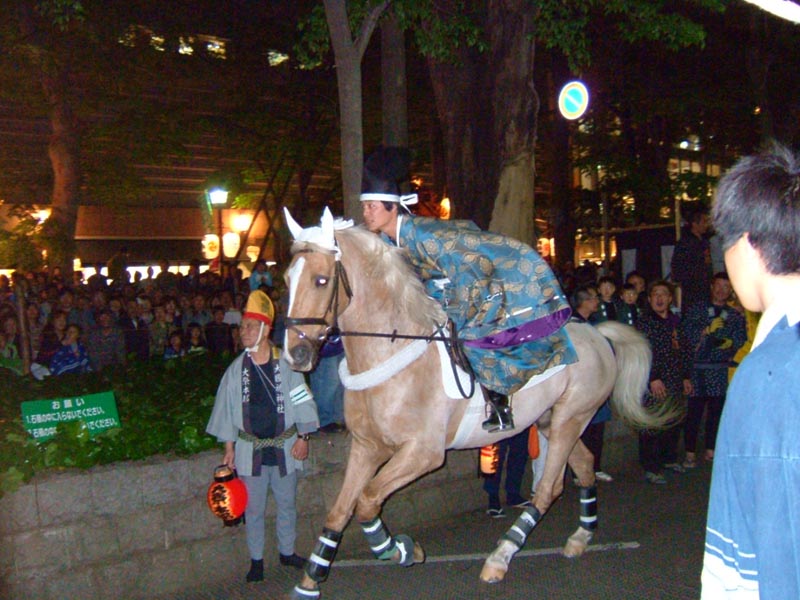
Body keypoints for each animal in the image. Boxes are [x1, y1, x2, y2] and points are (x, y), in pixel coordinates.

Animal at [281, 208, 674, 600]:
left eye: (320, 280)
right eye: (287, 279)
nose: (295, 355)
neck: (390, 354)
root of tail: (597, 333)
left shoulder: (423, 453)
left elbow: (366, 502)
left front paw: (402, 549)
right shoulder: (367, 447)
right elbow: (340, 510)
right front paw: (311, 579)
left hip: (570, 419)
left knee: (548, 489)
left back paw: (500, 558)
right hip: (554, 421)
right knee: (584, 466)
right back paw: (581, 536)